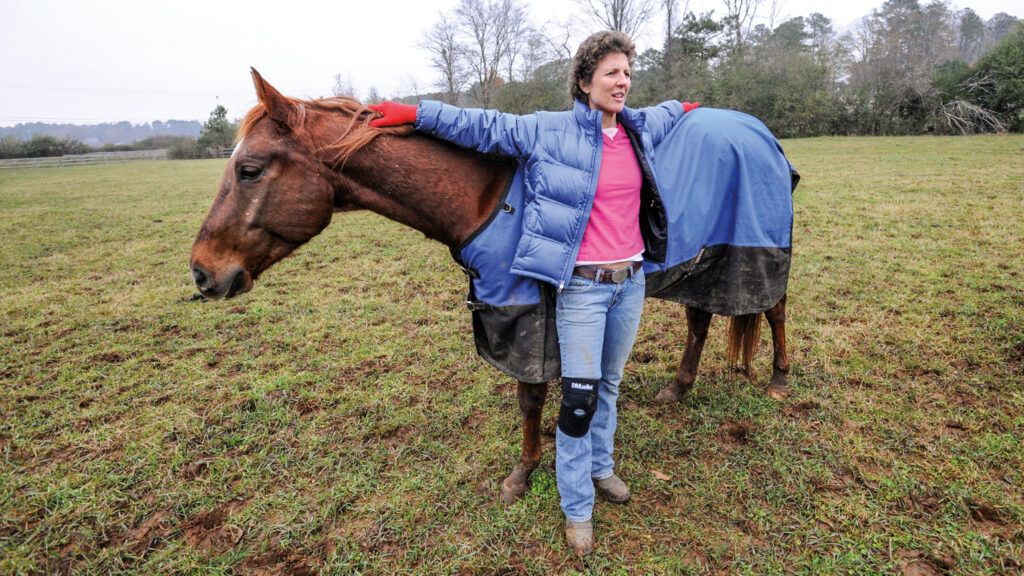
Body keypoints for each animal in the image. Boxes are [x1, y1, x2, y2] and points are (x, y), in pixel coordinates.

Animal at [193, 70, 798, 502]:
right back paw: (679, 387)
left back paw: (778, 378)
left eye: (248, 169)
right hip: (704, 261)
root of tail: (762, 134)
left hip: (757, 250)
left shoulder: (528, 315)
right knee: (701, 317)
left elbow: (530, 397)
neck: (489, 199)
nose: (202, 271)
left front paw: (522, 473)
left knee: (774, 309)